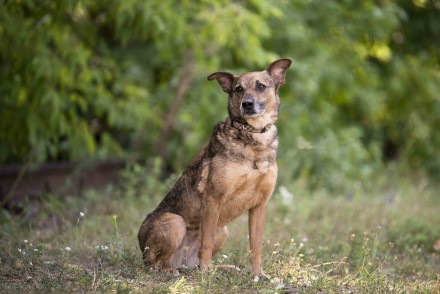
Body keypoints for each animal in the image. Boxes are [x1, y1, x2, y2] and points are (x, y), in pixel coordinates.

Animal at [138, 58, 292, 276]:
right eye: (238, 89)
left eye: (261, 86)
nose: (247, 104)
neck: (252, 137)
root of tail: (180, 262)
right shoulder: (214, 198)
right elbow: (206, 242)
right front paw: (206, 273)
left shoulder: (260, 205)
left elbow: (256, 246)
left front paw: (257, 274)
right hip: (175, 222)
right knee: (154, 263)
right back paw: (176, 270)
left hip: (222, 230)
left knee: (190, 262)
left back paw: (222, 267)